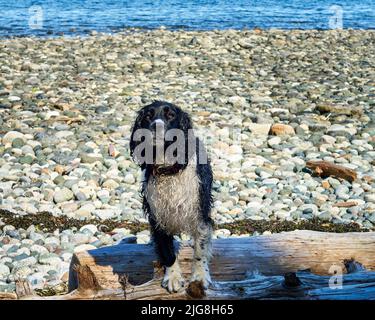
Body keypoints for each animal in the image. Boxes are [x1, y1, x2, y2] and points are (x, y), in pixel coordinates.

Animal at [129, 100, 213, 292]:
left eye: (170, 115)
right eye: (148, 116)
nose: (155, 126)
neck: (168, 170)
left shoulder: (200, 212)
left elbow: (200, 249)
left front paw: (200, 276)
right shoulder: (159, 215)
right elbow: (167, 251)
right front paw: (173, 277)